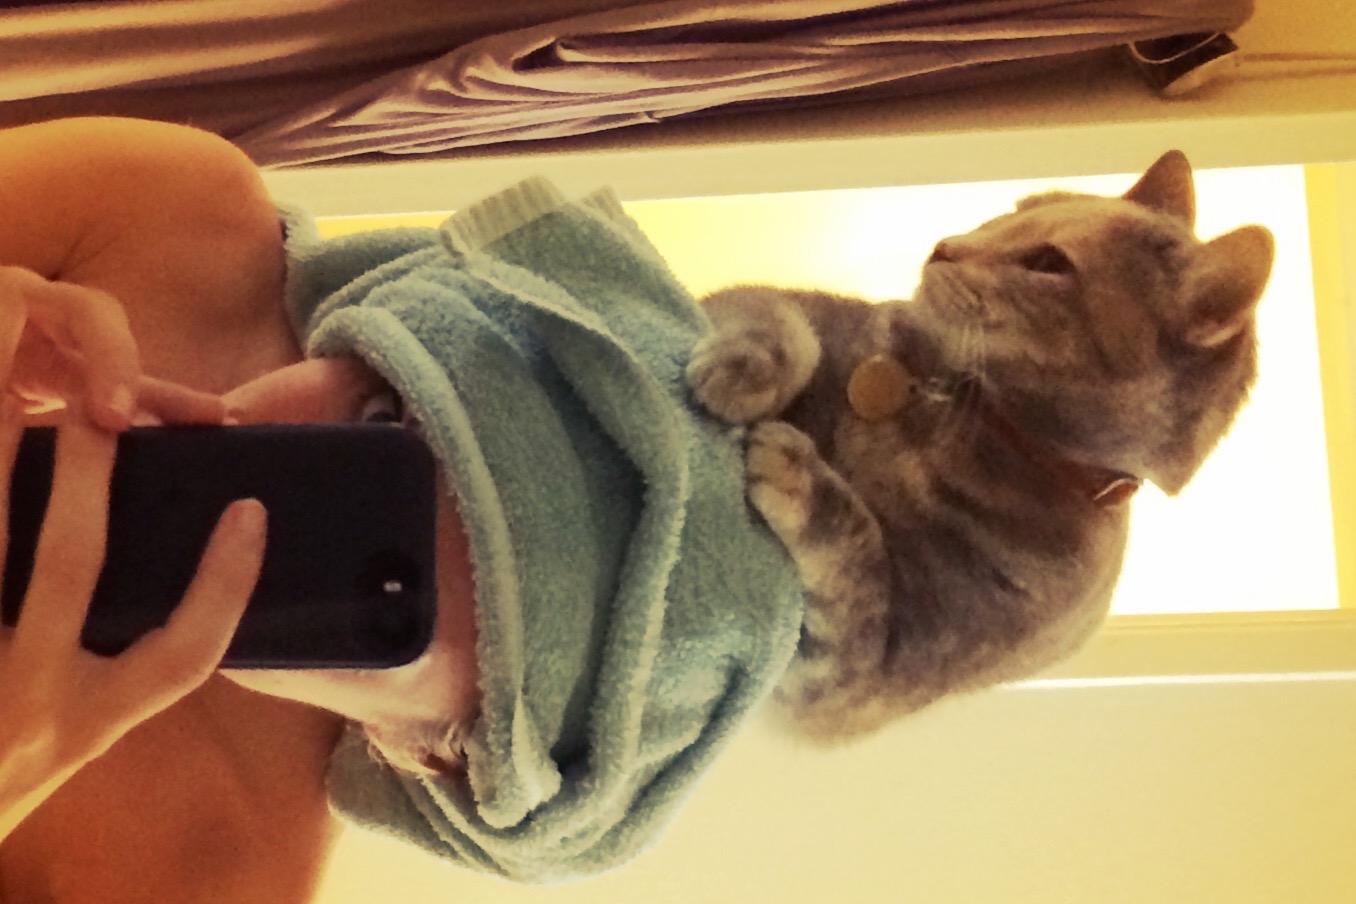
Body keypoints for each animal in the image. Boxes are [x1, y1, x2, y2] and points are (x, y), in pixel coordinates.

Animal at [686, 151, 1275, 742]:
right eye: (1015, 211)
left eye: (1049, 262)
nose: (946, 245)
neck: (955, 412)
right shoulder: (784, 307)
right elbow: (781, 320)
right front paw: (742, 369)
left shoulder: (845, 685)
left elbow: (857, 556)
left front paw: (795, 466)